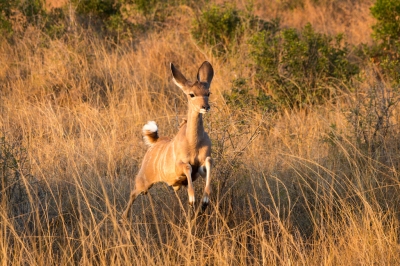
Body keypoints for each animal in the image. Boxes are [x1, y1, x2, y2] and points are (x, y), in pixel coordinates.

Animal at [122, 60, 214, 220]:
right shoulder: (180, 167)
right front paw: (192, 200)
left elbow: (209, 162)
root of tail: (155, 142)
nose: (205, 107)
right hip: (143, 181)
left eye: (208, 93)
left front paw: (204, 201)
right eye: (191, 94)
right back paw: (124, 219)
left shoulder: (201, 168)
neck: (193, 142)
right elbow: (188, 166)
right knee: (133, 193)